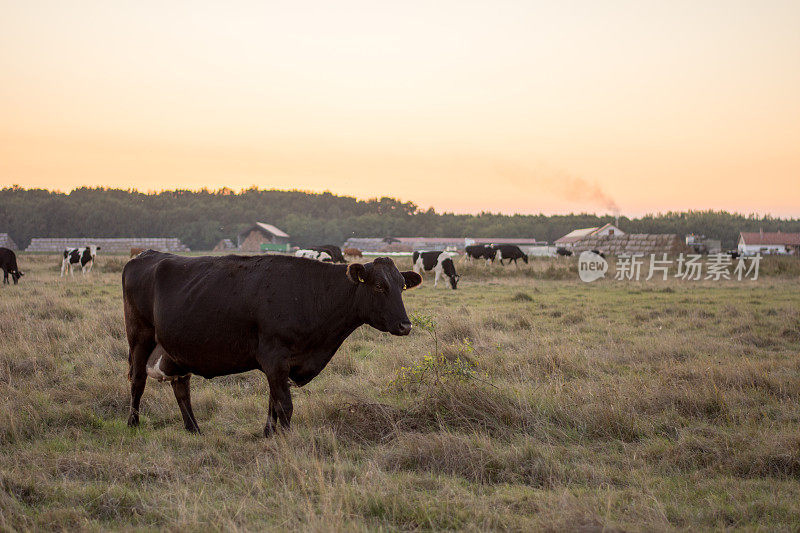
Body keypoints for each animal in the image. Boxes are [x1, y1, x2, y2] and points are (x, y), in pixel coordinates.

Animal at [122, 251, 422, 434]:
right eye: (379, 286)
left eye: (402, 286)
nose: (405, 325)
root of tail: (147, 255)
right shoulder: (274, 357)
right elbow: (284, 405)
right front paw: (288, 438)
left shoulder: (282, 364)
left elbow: (273, 401)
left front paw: (269, 433)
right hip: (139, 337)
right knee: (137, 380)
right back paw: (133, 423)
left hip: (176, 348)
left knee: (181, 386)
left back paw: (193, 428)